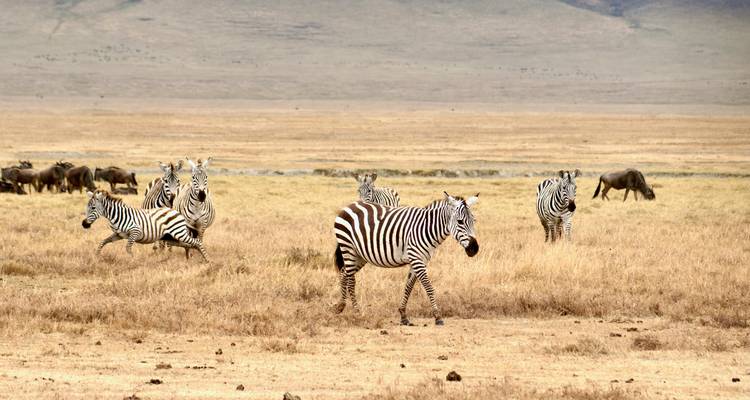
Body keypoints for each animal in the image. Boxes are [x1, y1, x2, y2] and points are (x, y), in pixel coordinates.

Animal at [333, 192, 479, 326]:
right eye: (460, 222)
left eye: (474, 221)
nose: (474, 249)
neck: (427, 228)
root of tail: (350, 206)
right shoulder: (416, 258)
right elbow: (429, 287)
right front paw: (438, 317)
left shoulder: (420, 260)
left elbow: (408, 286)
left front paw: (403, 316)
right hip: (348, 248)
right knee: (351, 280)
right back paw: (357, 312)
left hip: (360, 255)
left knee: (344, 273)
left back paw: (340, 306)